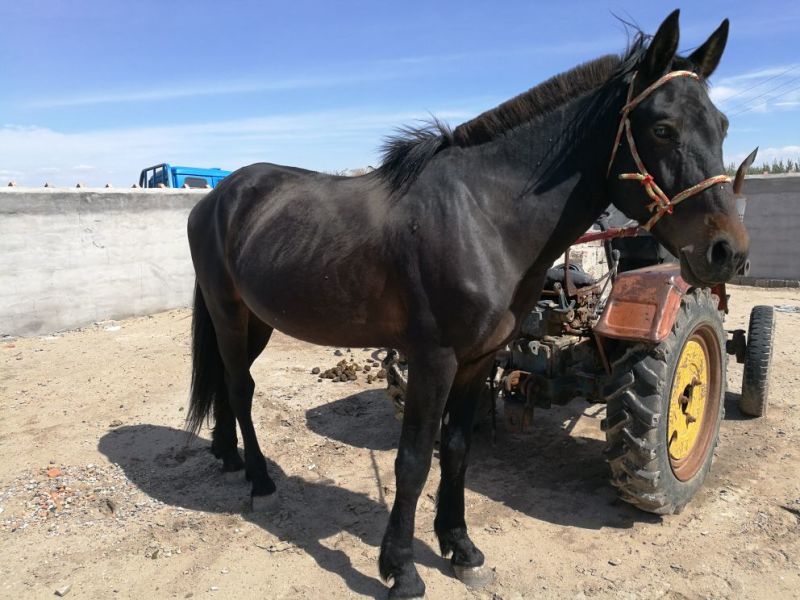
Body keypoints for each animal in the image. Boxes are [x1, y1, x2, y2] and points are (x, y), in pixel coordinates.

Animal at [186, 10, 748, 598]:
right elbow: (413, 461)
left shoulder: (479, 360)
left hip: (257, 319)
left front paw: (460, 547)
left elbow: (456, 448)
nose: (727, 252)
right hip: (229, 312)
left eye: (722, 125)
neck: (483, 216)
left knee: (229, 381)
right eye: (662, 127)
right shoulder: (433, 359)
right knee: (240, 386)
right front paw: (402, 568)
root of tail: (216, 196)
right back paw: (260, 479)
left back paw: (227, 454)